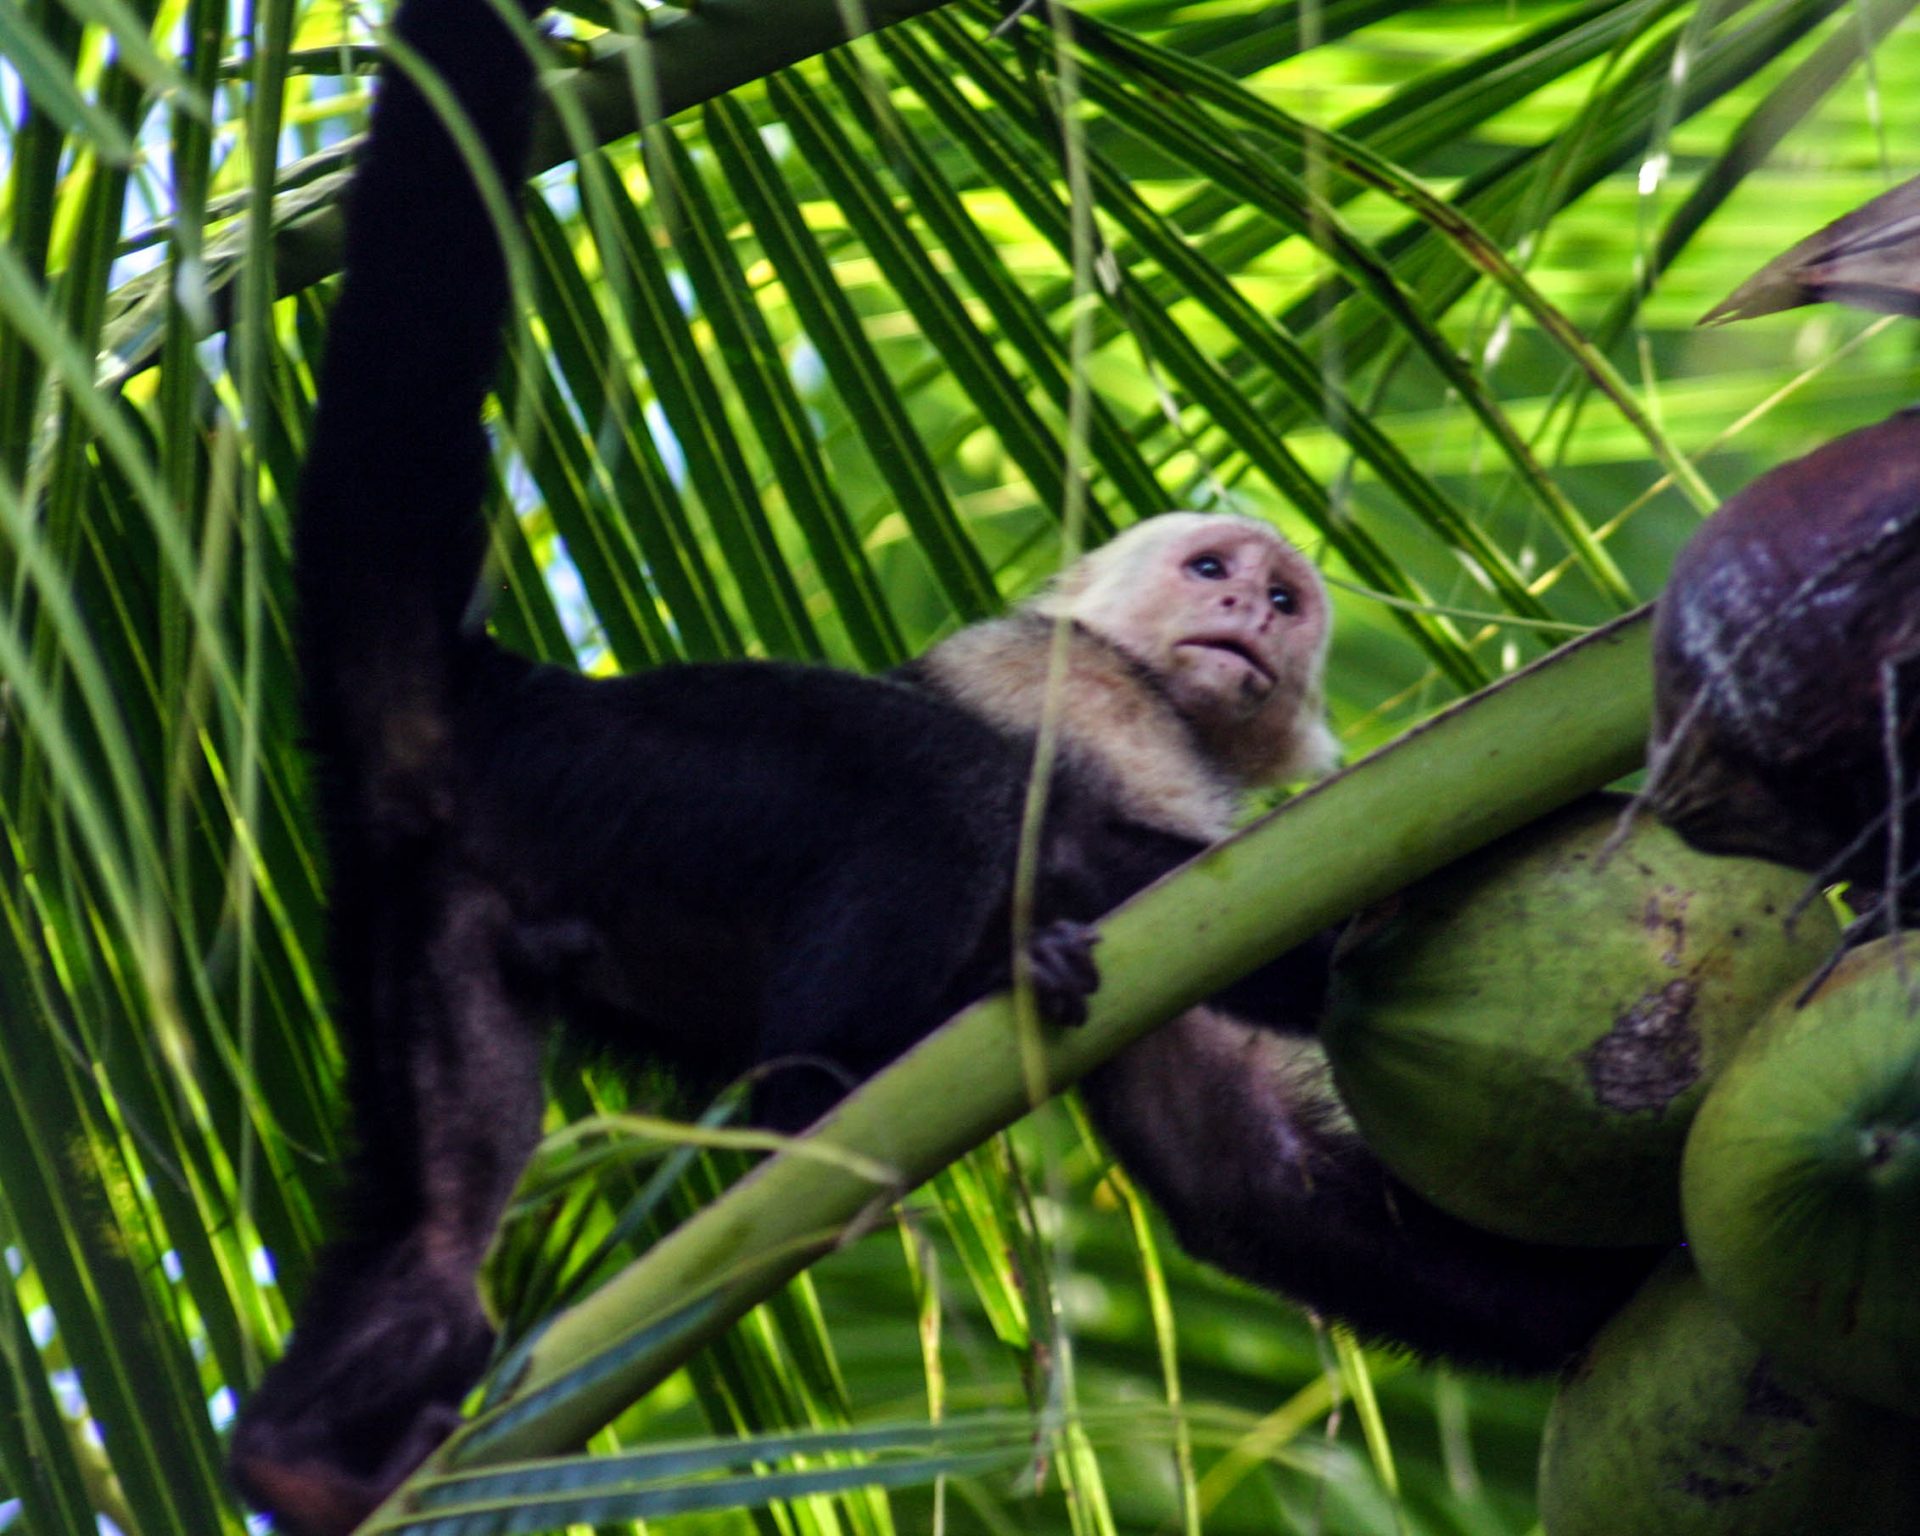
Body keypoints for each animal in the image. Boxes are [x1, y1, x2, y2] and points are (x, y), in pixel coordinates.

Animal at [228, 6, 1651, 1528]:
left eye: (1285, 602)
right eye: (1214, 573)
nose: (1254, 617)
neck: (1165, 703)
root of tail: (486, 696)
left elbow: (1246, 1166)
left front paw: (1617, 1294)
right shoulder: (1066, 675)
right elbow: (1088, 841)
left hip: (432, 909)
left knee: (440, 1219)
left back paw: (307, 1444)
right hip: (624, 771)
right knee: (931, 792)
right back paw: (811, 1106)